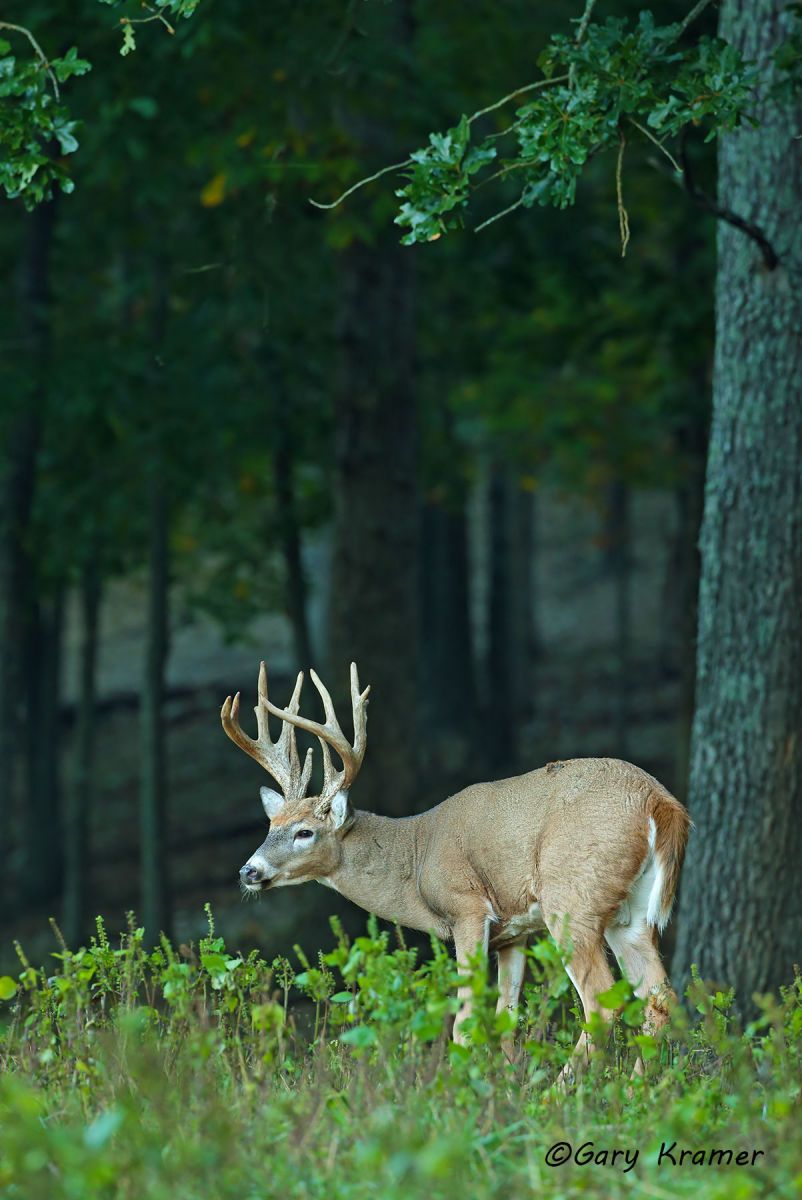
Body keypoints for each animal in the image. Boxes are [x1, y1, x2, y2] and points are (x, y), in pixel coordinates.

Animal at [221, 661, 690, 1073]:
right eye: (270, 825)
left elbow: (465, 1024)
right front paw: (505, 1088)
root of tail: (661, 803)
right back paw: (637, 1088)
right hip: (628, 914)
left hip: (572, 897)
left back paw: (561, 1093)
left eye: (304, 832)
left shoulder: (467, 908)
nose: (248, 871)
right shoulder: (513, 934)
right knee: (659, 998)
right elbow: (505, 1020)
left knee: (601, 1003)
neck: (416, 856)